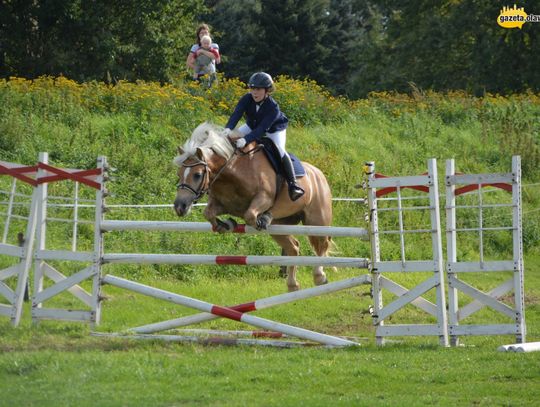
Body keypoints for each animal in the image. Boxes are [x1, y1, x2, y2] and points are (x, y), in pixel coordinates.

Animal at [173, 122, 336, 292]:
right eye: (179, 174)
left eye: (197, 175)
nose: (179, 207)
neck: (232, 170)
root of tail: (318, 173)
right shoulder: (222, 203)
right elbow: (208, 213)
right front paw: (226, 225)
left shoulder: (264, 198)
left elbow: (250, 215)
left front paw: (258, 221)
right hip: (280, 226)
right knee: (294, 247)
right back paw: (292, 285)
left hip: (317, 220)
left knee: (323, 244)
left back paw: (319, 276)